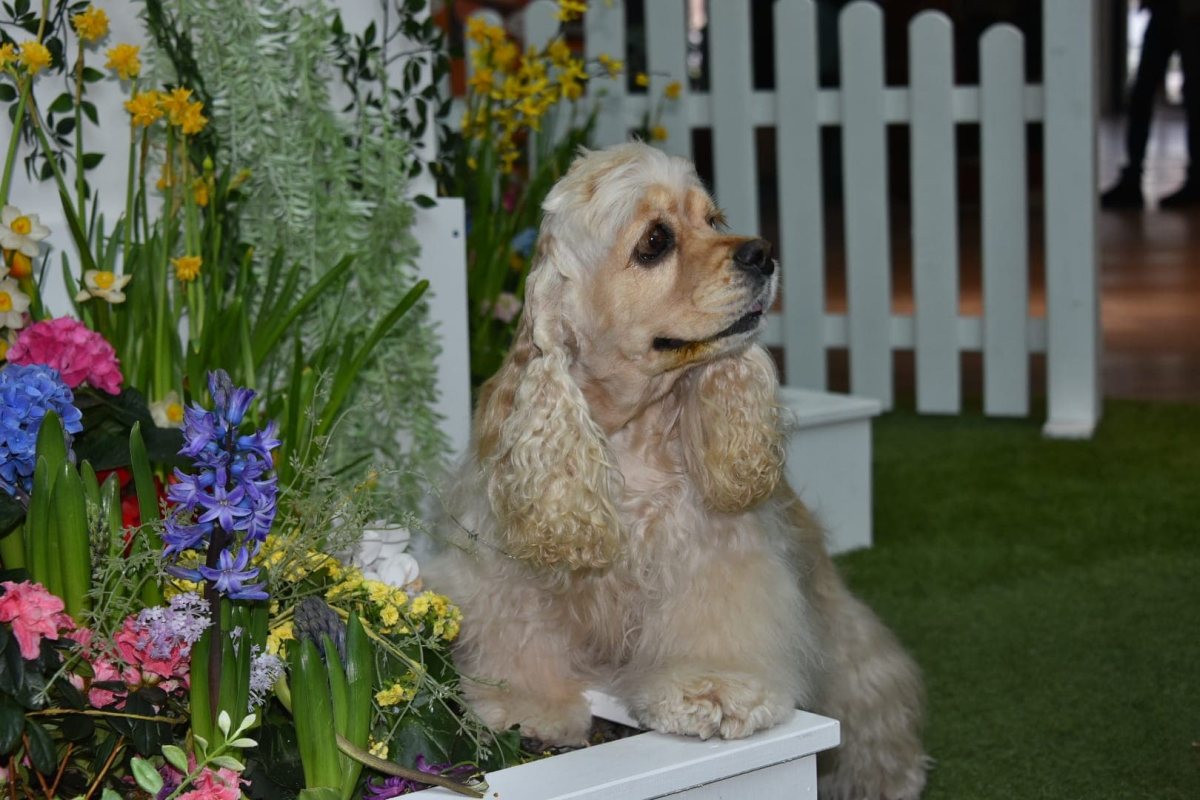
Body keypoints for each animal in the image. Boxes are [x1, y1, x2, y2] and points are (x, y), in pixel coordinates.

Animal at [432, 143, 926, 800]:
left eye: (714, 220)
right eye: (655, 241)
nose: (762, 252)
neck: (629, 431)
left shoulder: (716, 552)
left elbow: (713, 626)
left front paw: (713, 691)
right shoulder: (508, 563)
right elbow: (520, 631)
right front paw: (527, 706)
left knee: (871, 685)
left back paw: (889, 774)